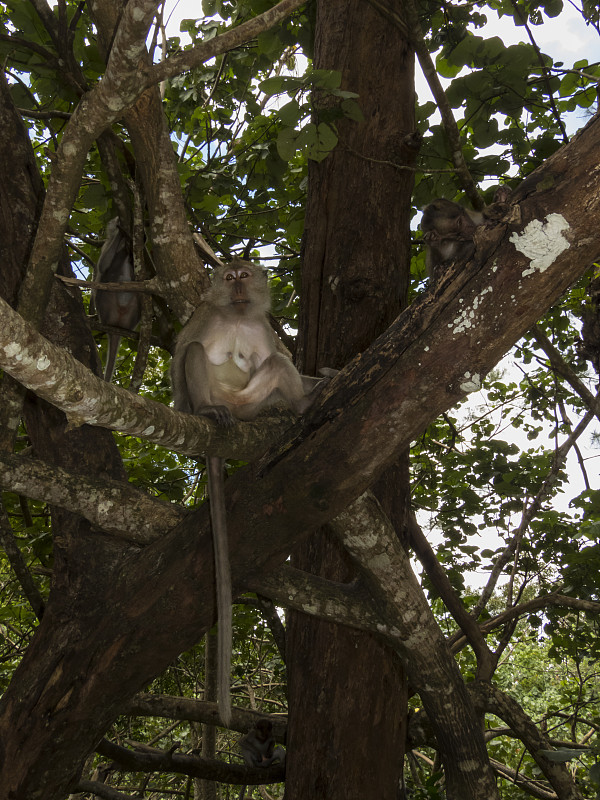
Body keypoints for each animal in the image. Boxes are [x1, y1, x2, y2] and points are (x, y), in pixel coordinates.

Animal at [169, 260, 328, 728]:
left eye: (244, 274)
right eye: (228, 277)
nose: (238, 284)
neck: (237, 316)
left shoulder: (261, 326)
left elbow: (276, 356)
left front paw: (320, 380)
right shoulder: (204, 314)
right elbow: (182, 350)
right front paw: (184, 405)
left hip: (249, 403)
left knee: (275, 363)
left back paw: (302, 405)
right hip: (220, 396)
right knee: (195, 353)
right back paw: (206, 410)